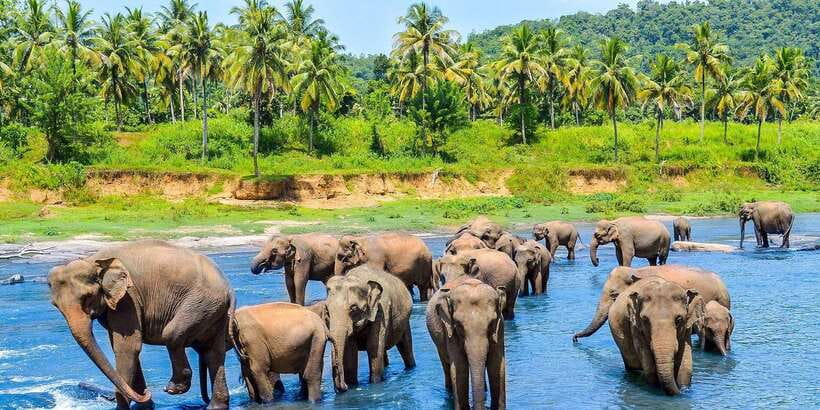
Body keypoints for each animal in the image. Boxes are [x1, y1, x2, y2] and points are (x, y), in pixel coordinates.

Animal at [47, 240, 233, 409]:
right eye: (55, 305)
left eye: (87, 297)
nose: (147, 393)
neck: (93, 261)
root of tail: (229, 288)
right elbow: (123, 348)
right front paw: (144, 405)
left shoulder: (129, 298)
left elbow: (127, 348)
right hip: (213, 311)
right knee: (213, 352)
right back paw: (216, 406)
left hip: (201, 304)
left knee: (172, 335)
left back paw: (173, 388)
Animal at [427, 277, 507, 410]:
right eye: (458, 325)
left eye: (492, 323)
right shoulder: (449, 330)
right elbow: (459, 368)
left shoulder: (500, 328)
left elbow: (496, 365)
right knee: (446, 364)